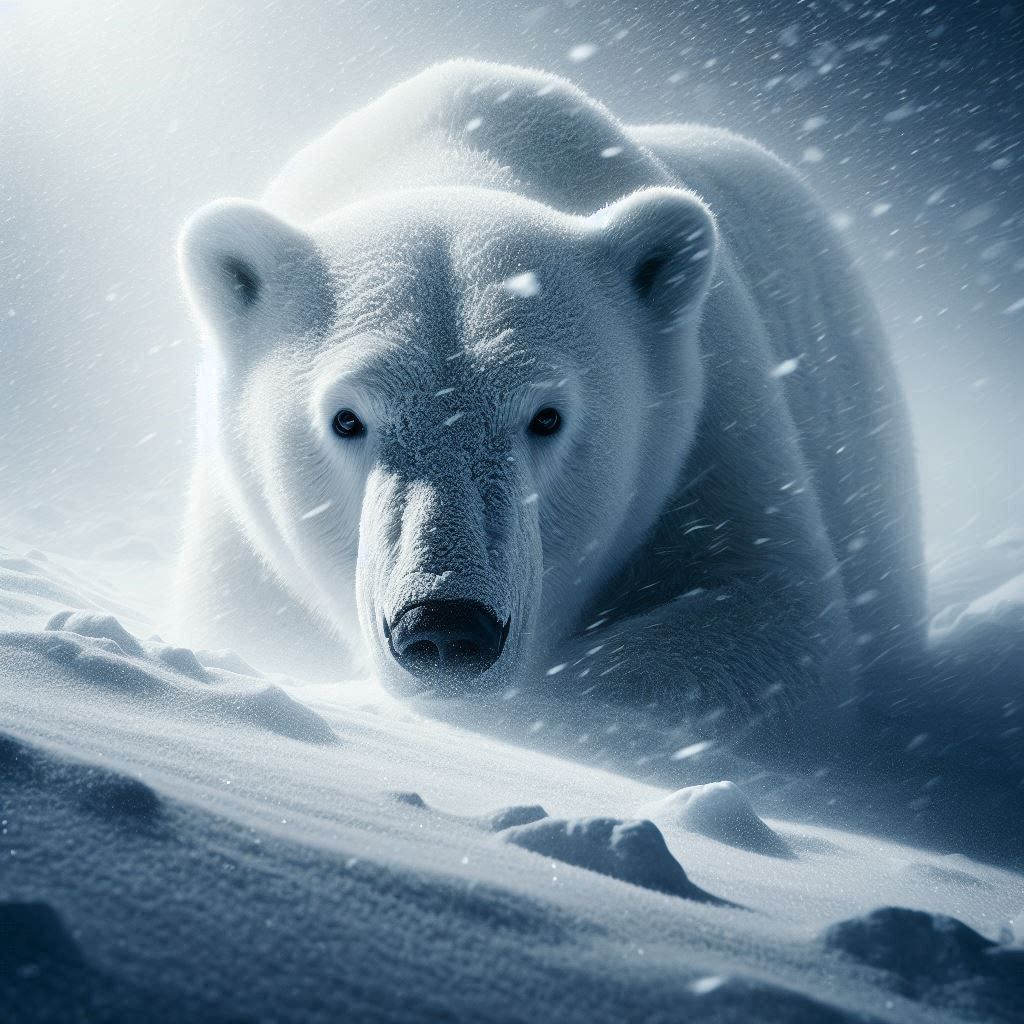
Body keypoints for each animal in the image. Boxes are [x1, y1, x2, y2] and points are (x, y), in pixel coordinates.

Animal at [175, 60, 926, 741]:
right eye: (346, 419)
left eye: (546, 417)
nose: (445, 628)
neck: (457, 150)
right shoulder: (243, 551)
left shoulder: (711, 439)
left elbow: (774, 616)